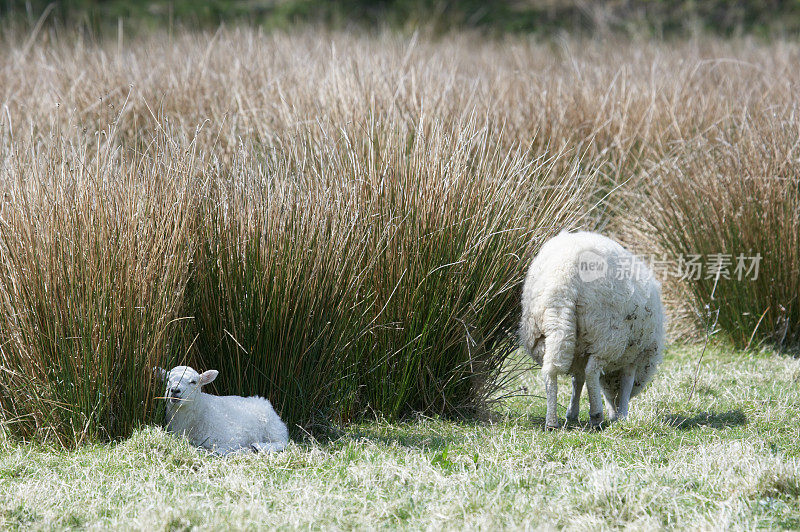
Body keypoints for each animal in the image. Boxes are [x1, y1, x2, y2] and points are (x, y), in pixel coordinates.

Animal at [155, 366, 290, 458]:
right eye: (168, 380)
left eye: (193, 381)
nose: (175, 390)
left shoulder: (233, 437)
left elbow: (220, 451)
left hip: (272, 427)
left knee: (282, 442)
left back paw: (257, 446)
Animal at [520, 231, 664, 430]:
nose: (614, 414)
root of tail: (563, 277)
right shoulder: (632, 356)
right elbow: (625, 383)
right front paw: (623, 415)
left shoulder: (580, 353)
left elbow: (577, 380)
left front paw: (572, 412)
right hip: (606, 335)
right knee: (592, 371)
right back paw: (596, 416)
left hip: (547, 331)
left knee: (551, 370)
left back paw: (552, 421)